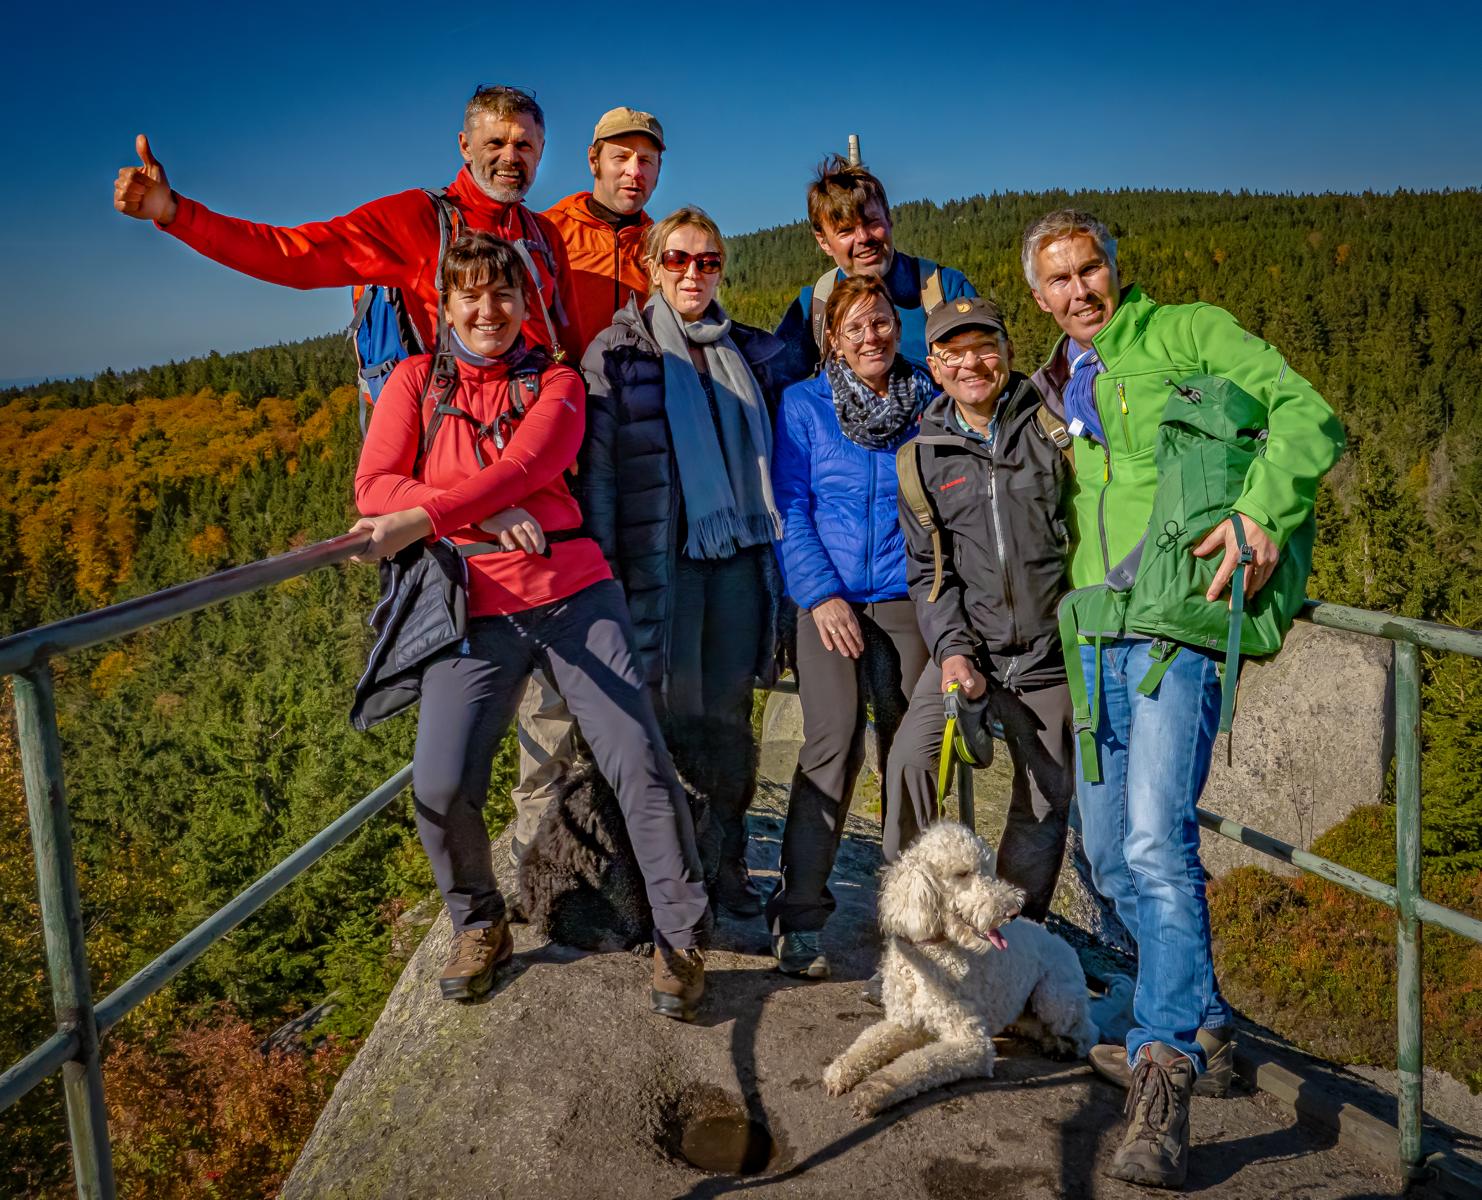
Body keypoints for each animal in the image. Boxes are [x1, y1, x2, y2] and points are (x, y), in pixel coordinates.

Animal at [823, 817, 1102, 1120]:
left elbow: (919, 1063)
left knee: (1087, 1032)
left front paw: (874, 1090)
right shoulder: (906, 1022)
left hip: (1054, 998)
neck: (930, 957)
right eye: (962, 873)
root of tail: (1064, 943)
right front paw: (841, 1069)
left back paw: (1063, 1046)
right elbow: (870, 1040)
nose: (1013, 911)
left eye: (988, 870)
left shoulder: (972, 1044)